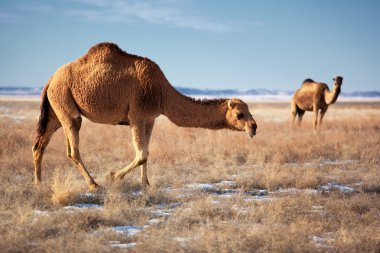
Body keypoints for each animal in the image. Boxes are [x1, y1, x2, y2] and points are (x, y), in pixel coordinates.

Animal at [31, 42, 258, 192]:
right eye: (240, 114)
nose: (254, 127)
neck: (162, 93)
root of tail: (51, 79)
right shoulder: (137, 116)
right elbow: (141, 155)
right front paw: (112, 176)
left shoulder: (150, 119)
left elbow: (147, 153)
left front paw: (146, 184)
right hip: (64, 101)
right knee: (72, 149)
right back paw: (94, 184)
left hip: (55, 109)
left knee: (39, 144)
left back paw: (39, 184)